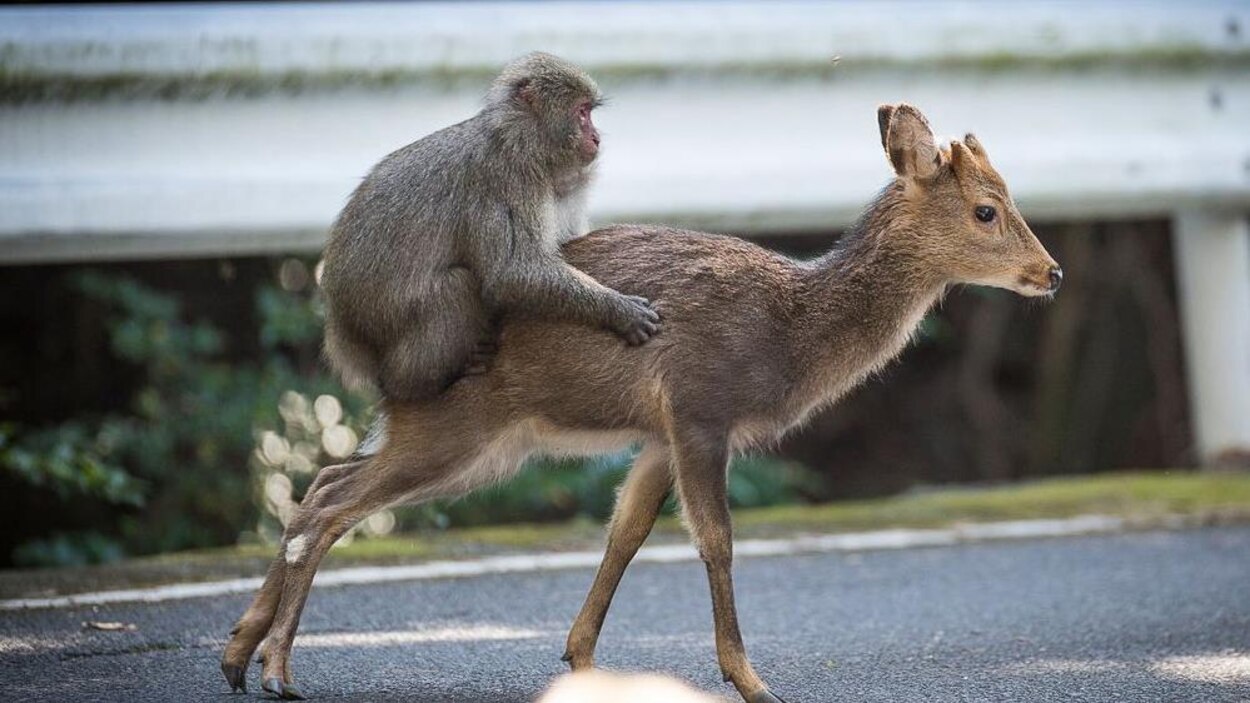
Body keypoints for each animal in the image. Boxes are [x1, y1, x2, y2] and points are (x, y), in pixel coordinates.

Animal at [222, 103, 1055, 700]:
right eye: (986, 209)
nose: (1052, 272)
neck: (788, 333)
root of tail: (381, 363)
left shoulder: (657, 432)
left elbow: (625, 530)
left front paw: (582, 659)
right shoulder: (699, 404)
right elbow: (714, 538)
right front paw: (751, 680)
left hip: (474, 443)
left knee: (321, 483)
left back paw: (238, 652)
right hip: (458, 427)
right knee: (331, 504)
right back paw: (277, 670)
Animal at [317, 51, 660, 400]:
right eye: (582, 113)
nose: (596, 138)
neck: (520, 140)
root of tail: (343, 332)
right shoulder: (506, 179)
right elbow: (513, 273)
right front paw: (617, 310)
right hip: (383, 325)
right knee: (456, 286)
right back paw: (417, 382)